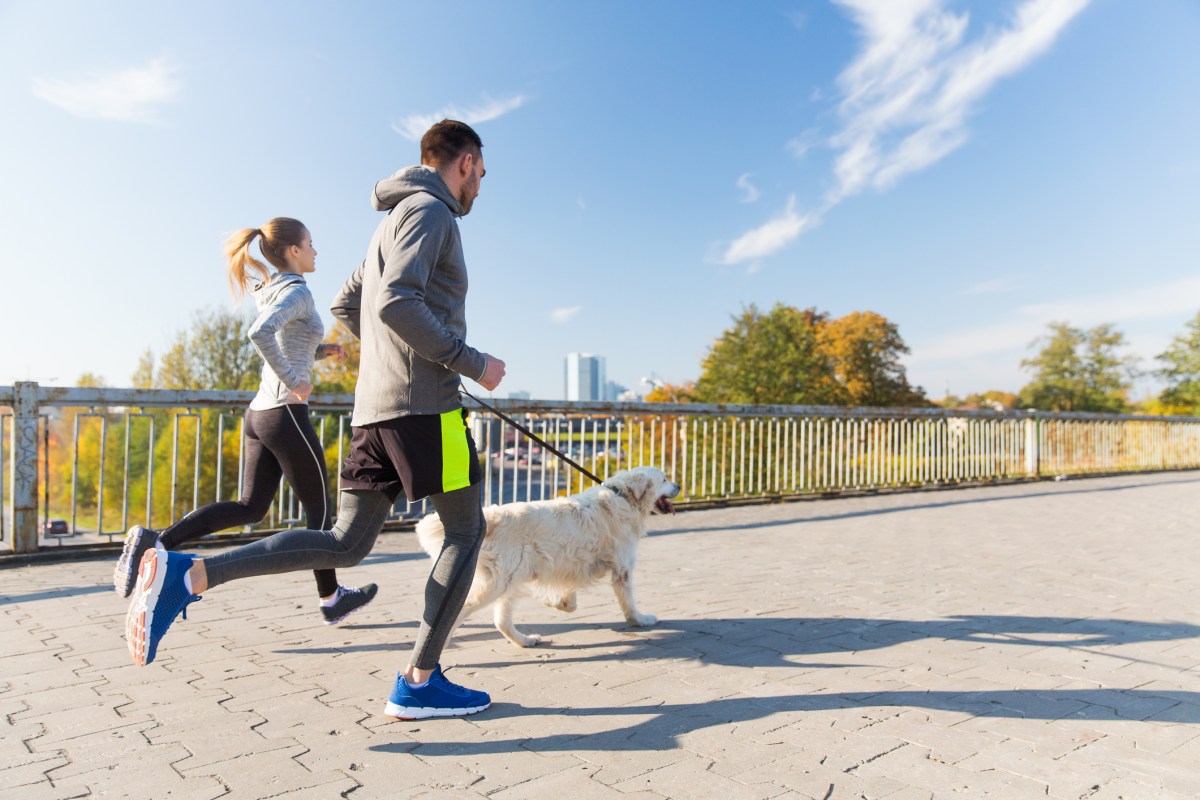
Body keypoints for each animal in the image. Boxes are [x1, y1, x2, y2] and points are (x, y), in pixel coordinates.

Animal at [415, 465, 681, 647]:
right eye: (664, 479)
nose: (679, 485)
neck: (623, 497)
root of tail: (492, 517)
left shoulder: (570, 566)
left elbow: (569, 596)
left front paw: (559, 602)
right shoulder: (622, 569)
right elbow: (629, 603)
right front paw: (641, 620)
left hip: (510, 580)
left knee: (501, 621)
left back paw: (525, 640)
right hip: (497, 584)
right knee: (457, 612)